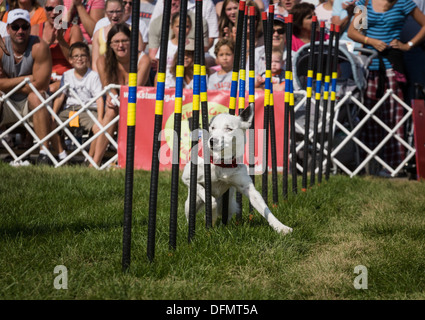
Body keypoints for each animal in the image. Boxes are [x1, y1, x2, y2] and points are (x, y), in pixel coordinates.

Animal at [181, 107, 294, 235]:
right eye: (212, 128)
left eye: (229, 128)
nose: (212, 141)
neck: (222, 162)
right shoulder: (187, 178)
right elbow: (209, 198)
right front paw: (211, 216)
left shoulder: (248, 188)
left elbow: (265, 209)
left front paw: (281, 227)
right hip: (192, 202)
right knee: (190, 215)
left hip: (230, 204)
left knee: (227, 215)